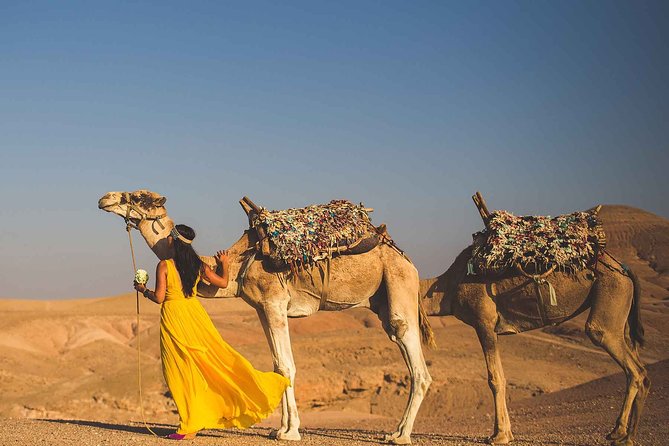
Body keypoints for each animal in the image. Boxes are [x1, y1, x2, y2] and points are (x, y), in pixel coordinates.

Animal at [98, 189, 435, 444]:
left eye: (139, 197)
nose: (105, 198)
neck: (239, 263)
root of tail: (406, 258)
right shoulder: (262, 308)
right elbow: (277, 365)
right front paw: (280, 428)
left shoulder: (274, 302)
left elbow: (287, 366)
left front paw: (291, 432)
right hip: (382, 298)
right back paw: (398, 431)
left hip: (398, 283)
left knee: (415, 359)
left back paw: (400, 436)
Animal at [419, 218, 650, 445]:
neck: (447, 287)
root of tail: (624, 269)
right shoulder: (490, 328)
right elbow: (502, 376)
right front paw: (506, 433)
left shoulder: (483, 322)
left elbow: (495, 379)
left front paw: (499, 435)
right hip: (621, 310)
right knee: (640, 368)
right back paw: (628, 434)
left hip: (611, 294)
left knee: (628, 363)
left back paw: (620, 433)